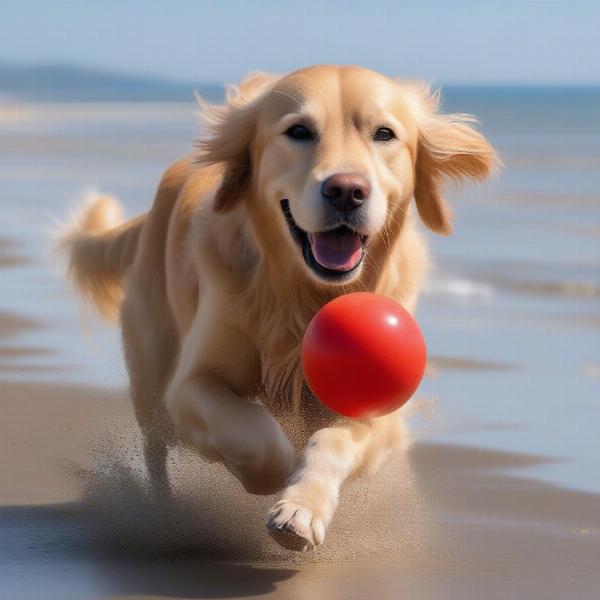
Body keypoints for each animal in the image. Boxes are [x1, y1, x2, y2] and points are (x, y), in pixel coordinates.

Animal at [58, 64, 496, 548]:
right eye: (299, 131)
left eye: (384, 133)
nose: (347, 190)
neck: (300, 297)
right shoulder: (191, 383)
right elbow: (252, 430)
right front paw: (275, 473)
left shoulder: (379, 414)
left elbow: (331, 442)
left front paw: (301, 507)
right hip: (150, 372)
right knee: (155, 447)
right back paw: (162, 512)